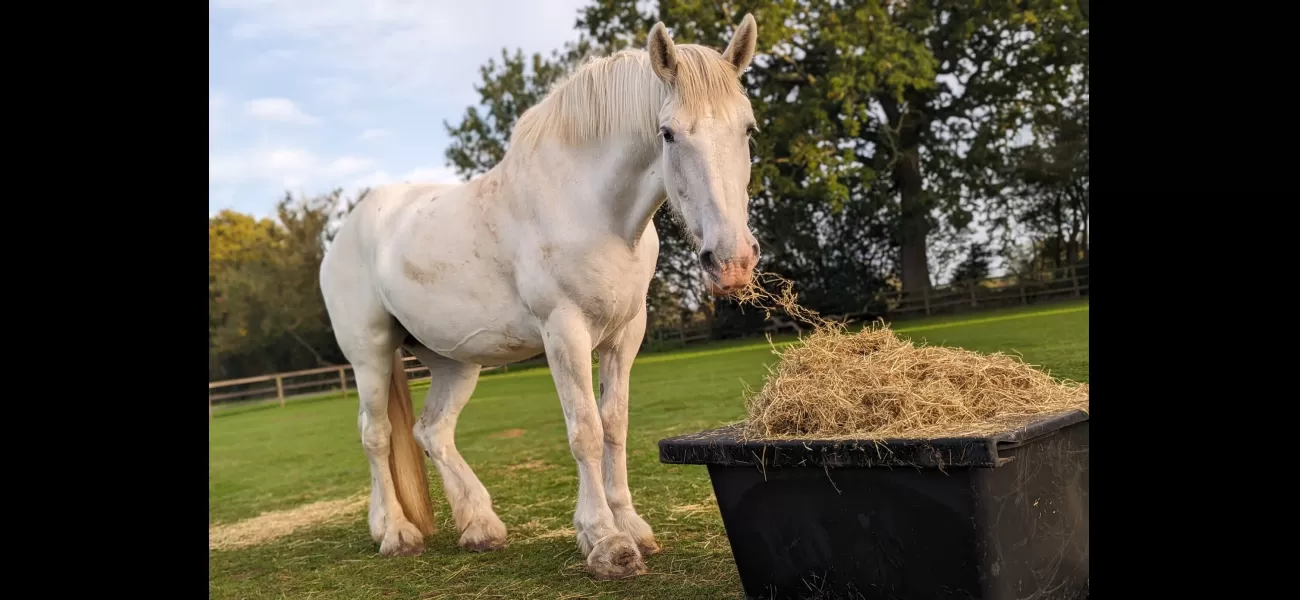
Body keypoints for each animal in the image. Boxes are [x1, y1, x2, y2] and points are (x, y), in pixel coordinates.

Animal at [318, 12, 759, 576]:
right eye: (668, 133)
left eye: (747, 127)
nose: (733, 261)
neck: (590, 208)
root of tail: (347, 231)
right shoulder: (564, 333)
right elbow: (585, 430)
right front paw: (605, 542)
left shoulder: (625, 335)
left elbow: (614, 425)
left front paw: (631, 527)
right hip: (370, 354)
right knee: (377, 435)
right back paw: (394, 533)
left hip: (453, 361)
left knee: (432, 431)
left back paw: (480, 527)